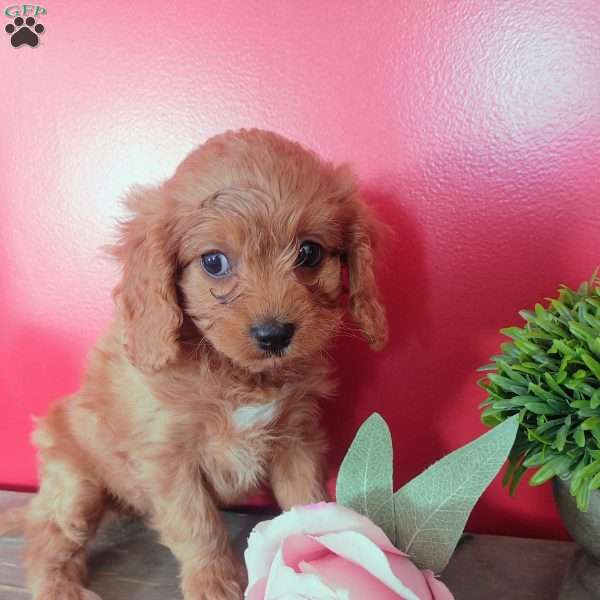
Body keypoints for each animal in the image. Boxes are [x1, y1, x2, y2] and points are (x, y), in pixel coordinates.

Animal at [5, 129, 390, 596]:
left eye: (310, 253)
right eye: (214, 262)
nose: (274, 335)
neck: (239, 376)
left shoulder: (296, 440)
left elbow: (305, 502)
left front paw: (319, 555)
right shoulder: (170, 460)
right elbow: (197, 525)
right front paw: (213, 583)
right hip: (75, 487)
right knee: (47, 536)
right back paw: (59, 586)